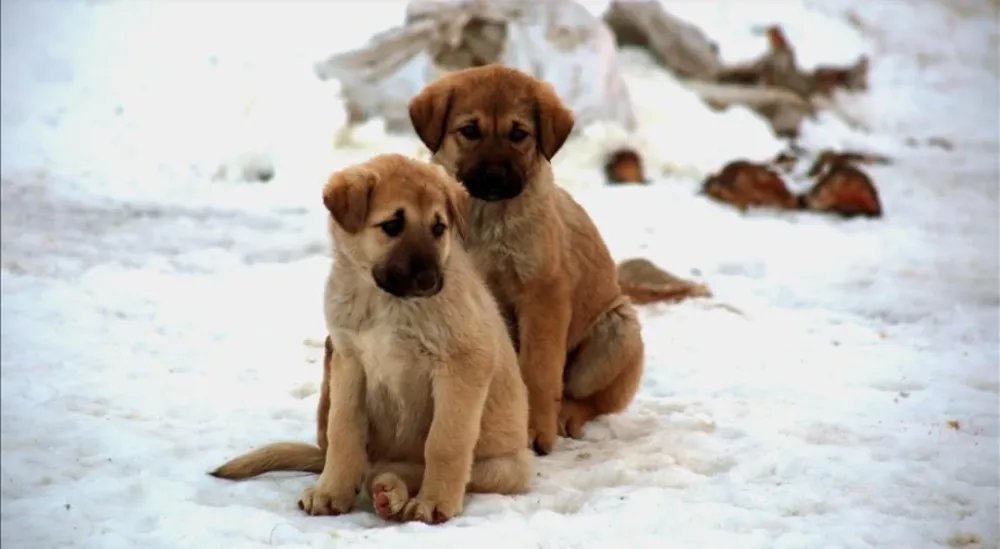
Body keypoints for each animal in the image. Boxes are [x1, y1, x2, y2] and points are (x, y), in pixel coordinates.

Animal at [209, 153, 532, 524]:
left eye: (439, 228)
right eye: (392, 225)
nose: (429, 280)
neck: (383, 300)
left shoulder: (462, 364)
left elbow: (444, 442)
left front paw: (435, 502)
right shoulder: (349, 363)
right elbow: (342, 431)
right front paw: (331, 492)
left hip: (505, 467)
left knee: (411, 469)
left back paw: (392, 493)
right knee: (370, 468)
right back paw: (385, 491)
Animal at [408, 66, 648, 456]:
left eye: (518, 134)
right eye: (470, 130)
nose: (494, 177)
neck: (486, 219)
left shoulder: (542, 295)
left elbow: (537, 370)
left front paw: (534, 430)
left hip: (617, 332)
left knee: (591, 399)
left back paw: (566, 416)